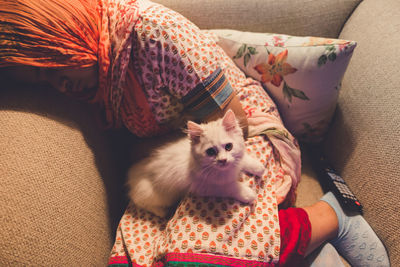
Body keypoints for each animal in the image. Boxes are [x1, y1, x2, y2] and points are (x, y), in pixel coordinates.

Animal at [127, 110, 266, 219]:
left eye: (228, 147)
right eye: (211, 152)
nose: (223, 160)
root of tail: (131, 175)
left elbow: (243, 160)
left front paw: (259, 167)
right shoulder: (207, 187)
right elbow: (231, 187)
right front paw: (248, 193)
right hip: (157, 196)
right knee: (140, 202)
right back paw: (163, 212)